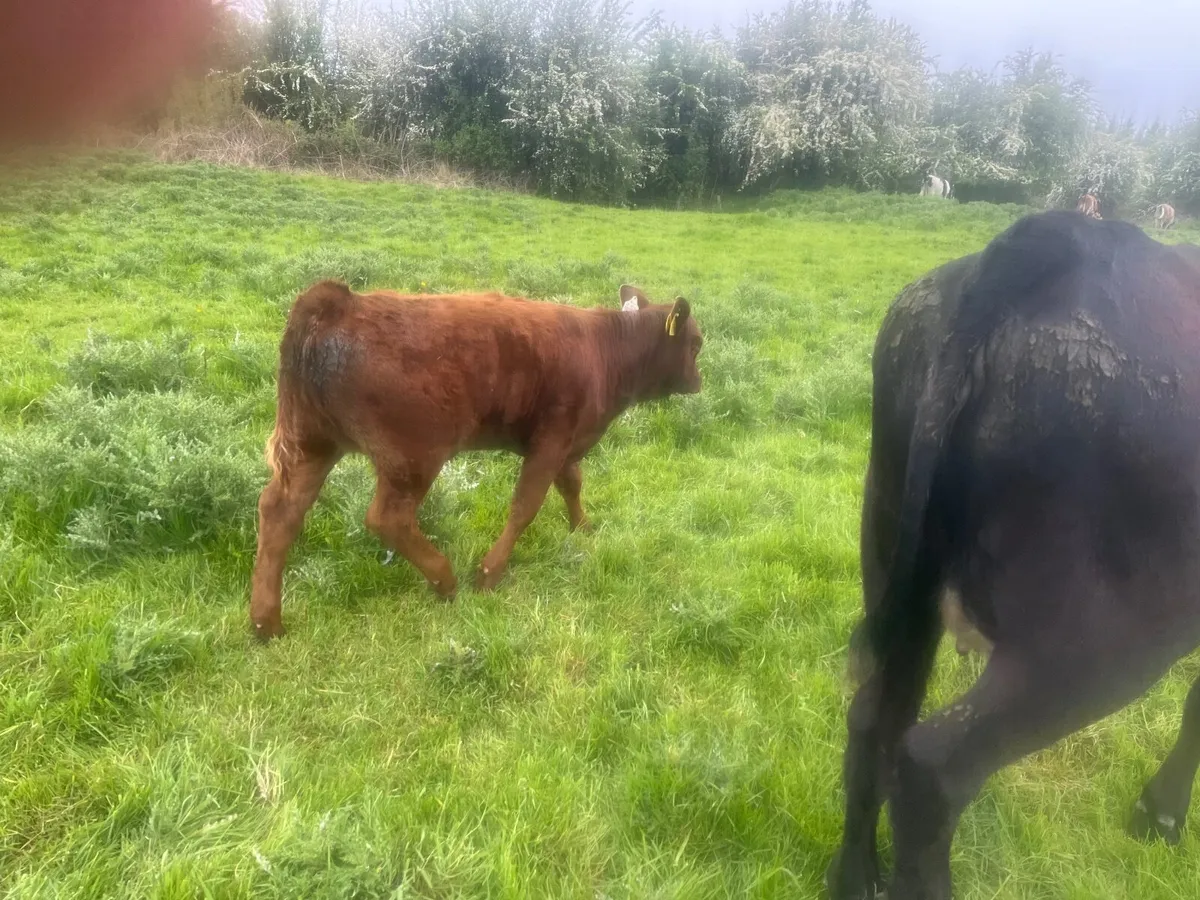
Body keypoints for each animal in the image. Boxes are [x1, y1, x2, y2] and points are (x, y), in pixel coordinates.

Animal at [249, 281, 704, 640]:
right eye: (696, 343)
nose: (699, 381)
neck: (603, 350)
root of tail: (339, 301)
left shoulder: (566, 443)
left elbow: (571, 484)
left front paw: (582, 528)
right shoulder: (552, 439)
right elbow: (526, 505)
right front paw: (490, 573)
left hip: (312, 444)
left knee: (279, 511)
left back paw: (265, 621)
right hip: (412, 458)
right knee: (387, 518)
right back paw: (446, 580)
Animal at [827, 210, 1200, 900]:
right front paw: (1161, 814)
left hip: (896, 562)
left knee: (873, 717)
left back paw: (854, 877)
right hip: (1103, 638)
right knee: (932, 768)